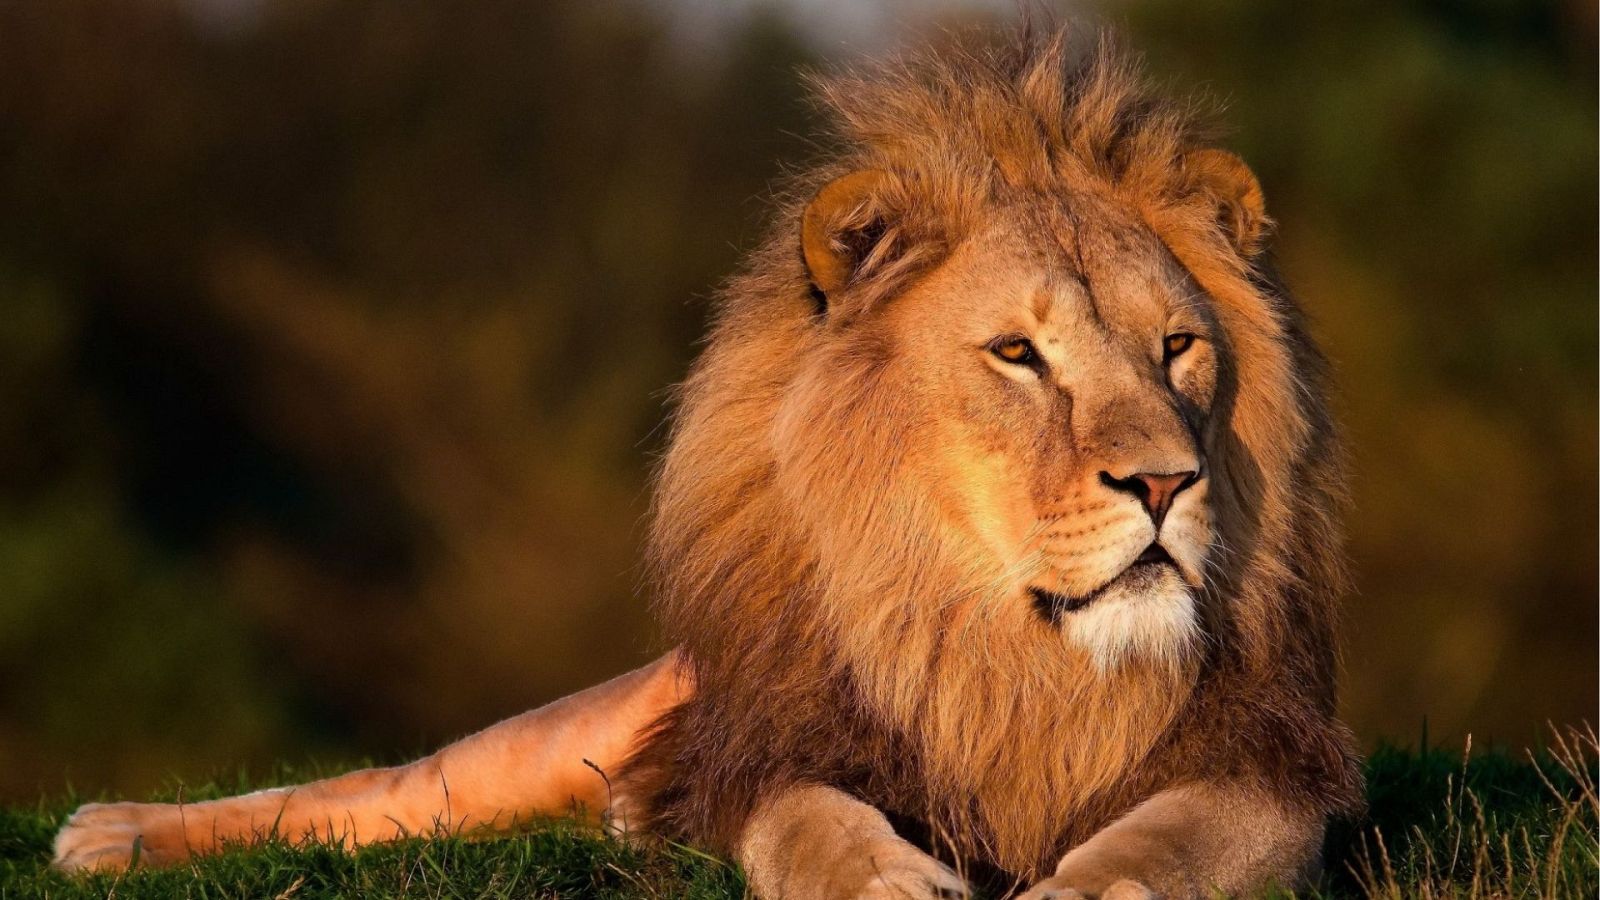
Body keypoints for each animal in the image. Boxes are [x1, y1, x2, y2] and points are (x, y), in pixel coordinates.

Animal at [52, 28, 1363, 899]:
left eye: (1178, 347)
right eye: (1017, 355)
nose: (1165, 484)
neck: (1006, 654)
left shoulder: (1270, 768)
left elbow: (1172, 840)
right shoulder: (762, 749)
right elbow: (807, 820)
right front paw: (880, 879)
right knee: (368, 796)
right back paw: (109, 833)